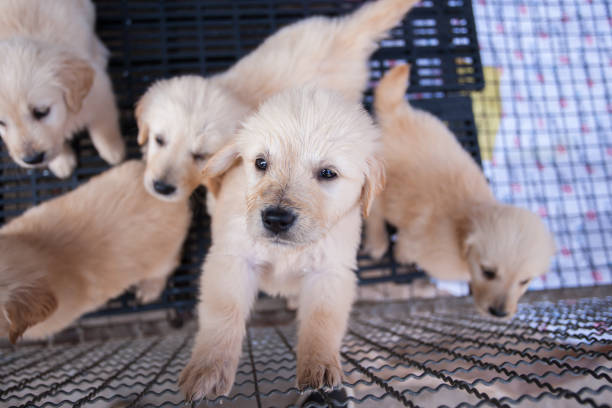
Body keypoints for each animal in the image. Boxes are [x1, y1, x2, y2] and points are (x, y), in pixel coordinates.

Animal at [0, 0, 124, 178]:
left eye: (41, 112)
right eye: (1, 122)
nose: (32, 159)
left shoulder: (99, 93)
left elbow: (104, 128)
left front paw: (114, 150)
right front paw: (61, 162)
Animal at [178, 87, 388, 402]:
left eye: (328, 173)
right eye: (261, 163)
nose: (276, 219)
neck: (285, 250)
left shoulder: (330, 271)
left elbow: (321, 321)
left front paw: (319, 367)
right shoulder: (232, 260)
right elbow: (223, 312)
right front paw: (208, 368)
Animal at [364, 64, 560, 318]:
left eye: (525, 281)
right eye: (488, 272)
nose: (499, 313)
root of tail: (396, 114)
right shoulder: (415, 242)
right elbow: (404, 250)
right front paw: (402, 258)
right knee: (375, 213)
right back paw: (377, 242)